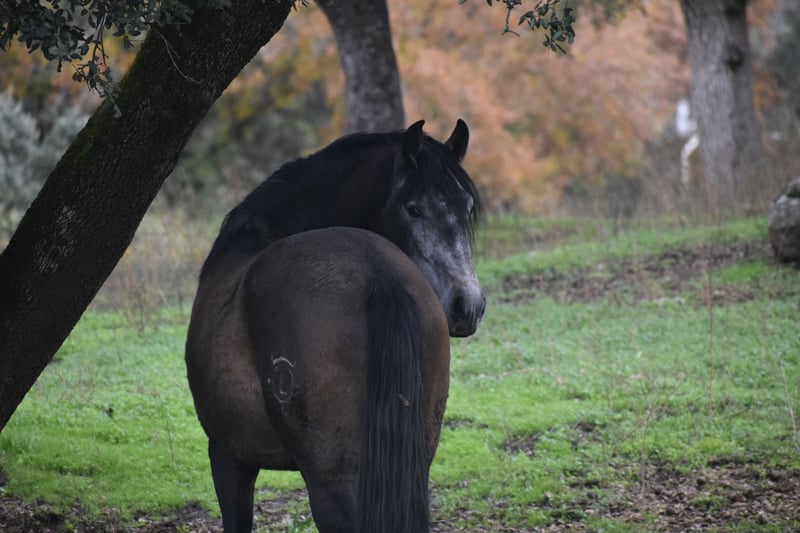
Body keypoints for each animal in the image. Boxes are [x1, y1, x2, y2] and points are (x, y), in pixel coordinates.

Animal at [185, 120, 485, 532]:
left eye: (467, 207)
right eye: (414, 208)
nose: (467, 305)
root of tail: (378, 271)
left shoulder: (228, 456)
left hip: (330, 482)